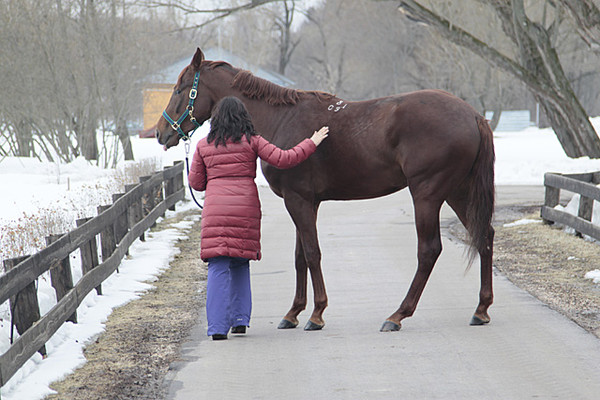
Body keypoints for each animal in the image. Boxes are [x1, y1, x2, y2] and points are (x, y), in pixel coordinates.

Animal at [157, 48, 494, 332]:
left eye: (179, 89)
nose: (161, 133)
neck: (282, 119)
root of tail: (473, 114)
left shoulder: (298, 201)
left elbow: (312, 253)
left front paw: (316, 315)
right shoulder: (305, 202)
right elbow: (299, 257)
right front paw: (293, 313)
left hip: (427, 194)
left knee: (429, 250)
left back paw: (398, 315)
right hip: (457, 192)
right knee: (485, 237)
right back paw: (481, 309)